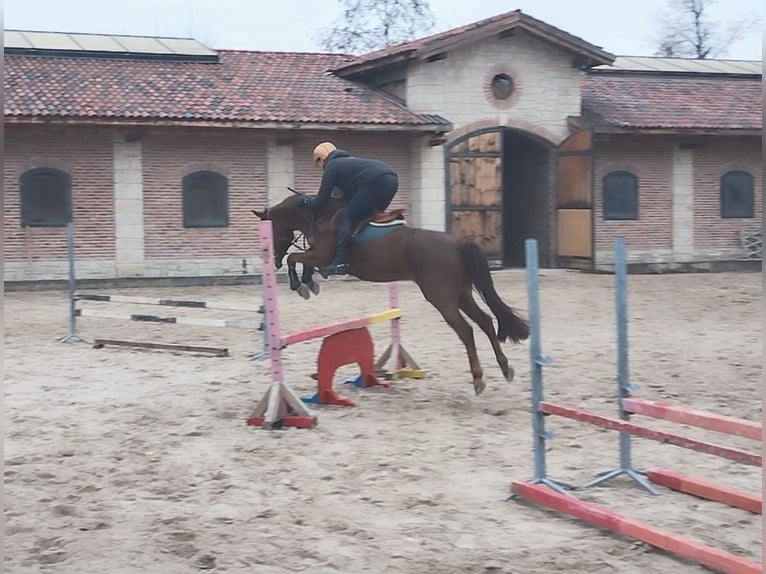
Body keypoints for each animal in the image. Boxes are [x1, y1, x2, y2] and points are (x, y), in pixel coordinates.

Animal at [251, 193, 530, 396]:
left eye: (271, 230)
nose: (273, 260)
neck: (320, 216)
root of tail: (457, 243)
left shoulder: (321, 255)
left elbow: (295, 258)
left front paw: (298, 284)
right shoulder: (317, 256)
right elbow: (303, 261)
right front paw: (308, 283)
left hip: (441, 297)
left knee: (466, 330)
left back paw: (479, 379)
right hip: (461, 294)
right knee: (485, 321)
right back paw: (505, 368)